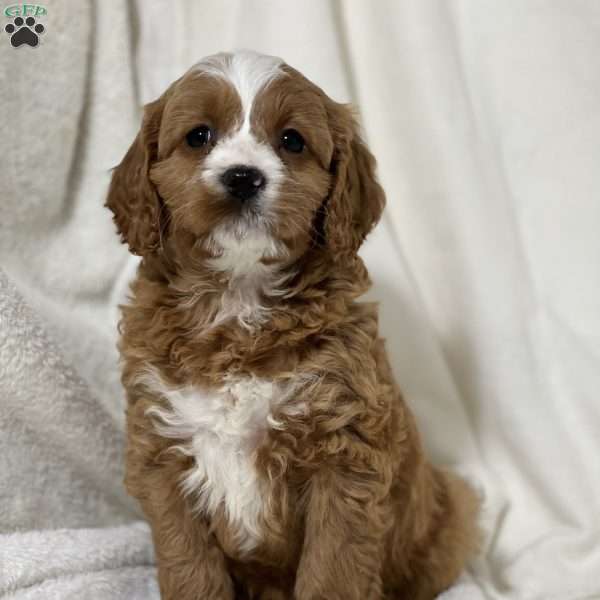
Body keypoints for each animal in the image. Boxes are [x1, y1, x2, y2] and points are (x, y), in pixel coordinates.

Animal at [106, 51, 478, 600]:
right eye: (198, 136)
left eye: (292, 141)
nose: (242, 176)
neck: (240, 299)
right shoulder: (163, 452)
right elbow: (189, 565)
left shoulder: (345, 456)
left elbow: (332, 571)